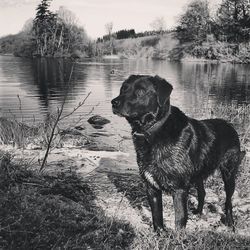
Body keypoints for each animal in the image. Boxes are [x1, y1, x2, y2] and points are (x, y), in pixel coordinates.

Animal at [111, 75, 244, 231]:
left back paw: (230, 222)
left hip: (229, 174)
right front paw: (160, 234)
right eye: (123, 88)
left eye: (140, 91)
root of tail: (230, 125)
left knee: (228, 201)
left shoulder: (179, 189)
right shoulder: (151, 187)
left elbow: (180, 221)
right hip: (198, 174)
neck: (153, 130)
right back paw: (198, 212)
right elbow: (157, 217)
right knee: (202, 192)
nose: (114, 102)